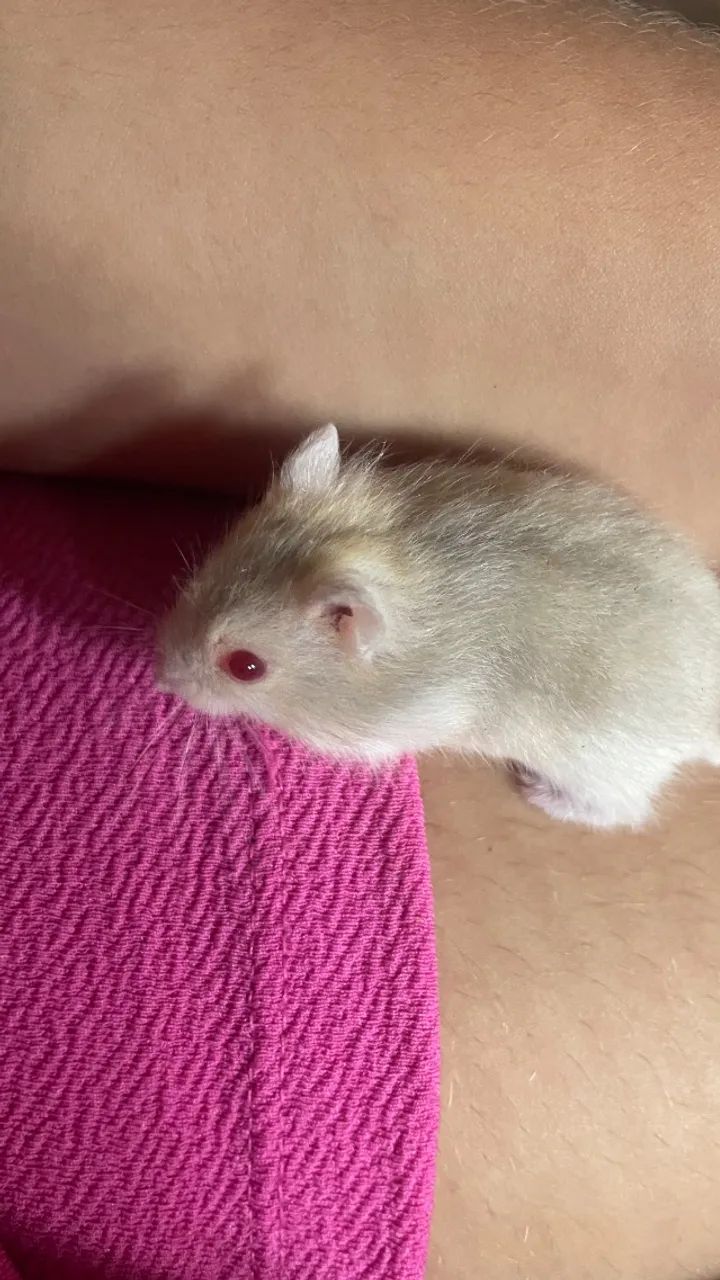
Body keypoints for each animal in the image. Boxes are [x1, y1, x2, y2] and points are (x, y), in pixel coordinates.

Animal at [156, 423, 720, 830]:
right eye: (199, 579)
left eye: (245, 667)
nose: (160, 677)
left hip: (602, 767)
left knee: (622, 810)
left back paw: (537, 792)